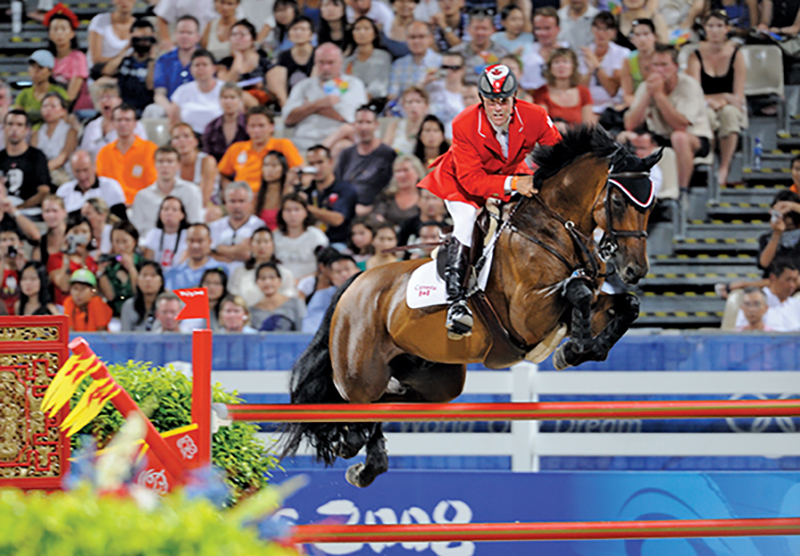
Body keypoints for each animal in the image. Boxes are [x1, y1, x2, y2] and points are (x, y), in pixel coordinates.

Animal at [280, 126, 662, 488]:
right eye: (618, 201)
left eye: (651, 205)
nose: (635, 270)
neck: (552, 231)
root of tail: (354, 284)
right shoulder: (526, 316)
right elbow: (576, 290)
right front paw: (575, 347)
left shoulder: (577, 307)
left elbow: (625, 304)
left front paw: (581, 350)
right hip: (360, 372)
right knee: (360, 402)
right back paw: (356, 450)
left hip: (436, 379)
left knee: (392, 401)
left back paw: (361, 455)